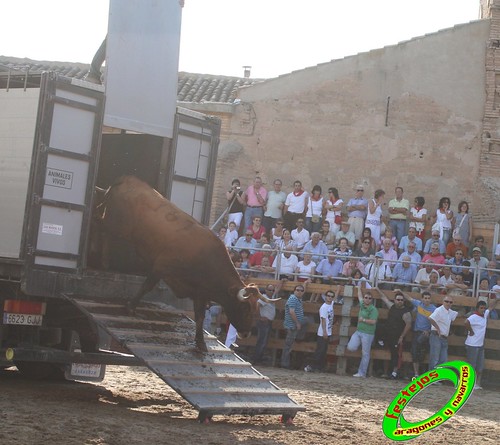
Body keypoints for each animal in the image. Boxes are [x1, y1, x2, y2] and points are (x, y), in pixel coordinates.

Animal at [97, 175, 278, 348]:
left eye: (256, 309)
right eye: (244, 307)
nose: (246, 334)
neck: (207, 260)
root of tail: (126, 179)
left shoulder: (200, 293)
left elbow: (200, 317)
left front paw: (200, 342)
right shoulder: (160, 268)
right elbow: (146, 287)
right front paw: (131, 307)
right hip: (116, 224)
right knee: (104, 231)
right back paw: (104, 261)